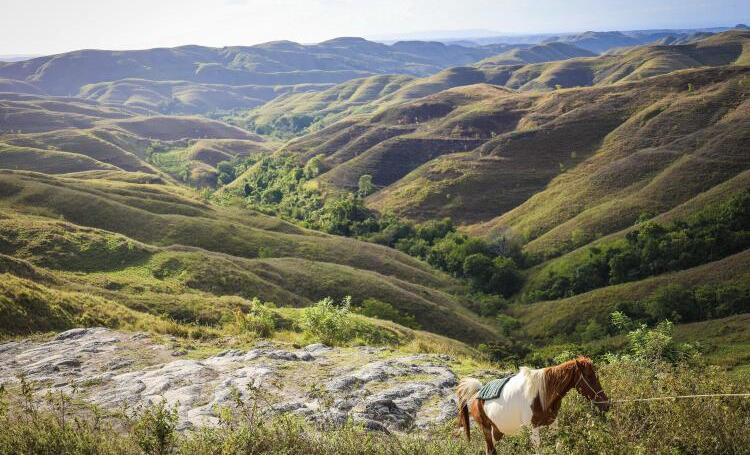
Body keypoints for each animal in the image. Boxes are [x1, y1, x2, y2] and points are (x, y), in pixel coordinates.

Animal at [456, 356, 610, 455]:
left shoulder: (553, 424)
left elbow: (558, 446)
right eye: (589, 376)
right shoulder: (534, 428)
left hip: (498, 430)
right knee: (490, 449)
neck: (542, 395)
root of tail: (477, 393)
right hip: (486, 429)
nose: (606, 404)